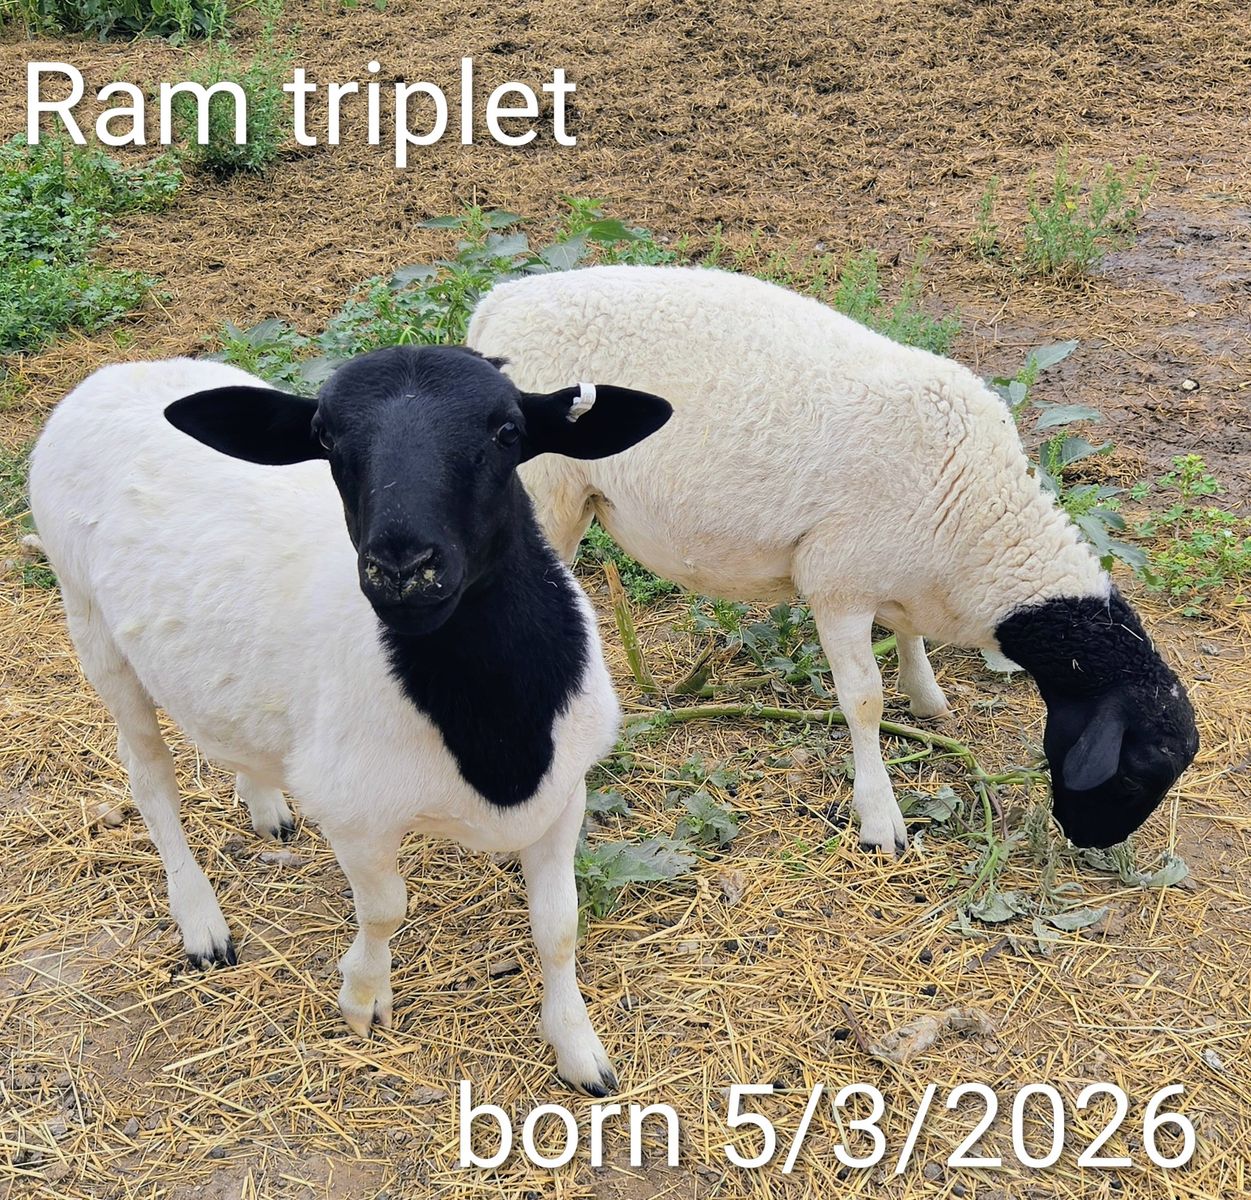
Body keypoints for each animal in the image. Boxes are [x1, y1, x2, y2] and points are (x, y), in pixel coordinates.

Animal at [28, 345, 672, 1095]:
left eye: (507, 432)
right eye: (327, 440)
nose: (403, 568)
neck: (494, 730)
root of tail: (113, 374)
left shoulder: (564, 791)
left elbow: (559, 926)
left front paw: (578, 1050)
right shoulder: (356, 814)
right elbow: (386, 908)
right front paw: (362, 997)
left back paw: (266, 806)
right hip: (91, 626)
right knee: (150, 779)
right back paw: (201, 923)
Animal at [467, 264, 1199, 856]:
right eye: (1135, 773)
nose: (1092, 842)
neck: (978, 518)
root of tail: (498, 303)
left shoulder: (894, 570)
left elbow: (908, 637)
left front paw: (928, 700)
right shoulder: (838, 581)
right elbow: (864, 701)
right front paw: (880, 817)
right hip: (546, 495)